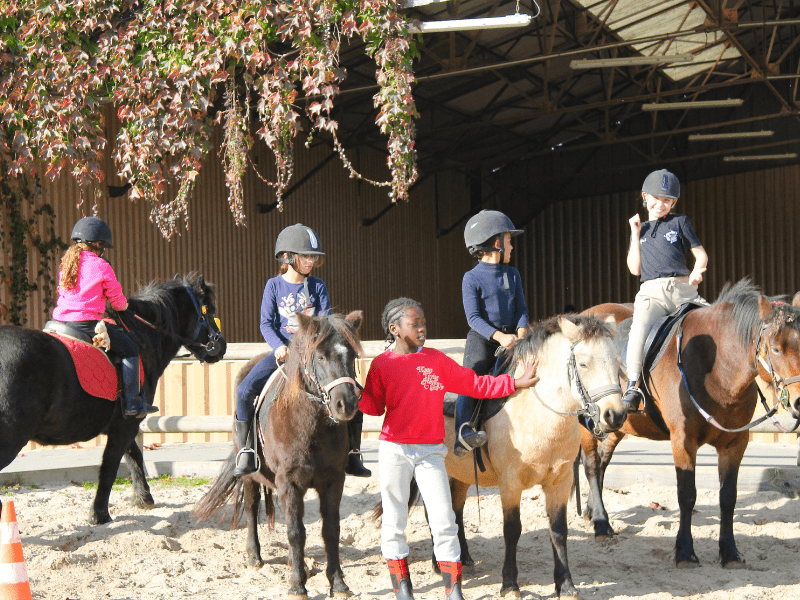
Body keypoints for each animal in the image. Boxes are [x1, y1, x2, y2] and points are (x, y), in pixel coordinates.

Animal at [0, 274, 227, 524]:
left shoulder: (123, 424)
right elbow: (111, 465)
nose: (221, 347)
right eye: (210, 310)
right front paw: (100, 514)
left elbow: (133, 456)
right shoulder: (125, 425)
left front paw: (143, 498)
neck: (140, 337)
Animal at [192, 312, 360, 600]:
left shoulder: (334, 480)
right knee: (251, 508)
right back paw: (255, 556)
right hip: (250, 475)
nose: (345, 404)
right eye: (320, 356)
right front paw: (297, 585)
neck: (311, 425)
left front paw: (338, 583)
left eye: (351, 356)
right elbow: (295, 532)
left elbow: (330, 530)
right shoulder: (289, 482)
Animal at [580, 278, 800, 568]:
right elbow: (687, 495)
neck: (715, 367)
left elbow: (728, 497)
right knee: (592, 464)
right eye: (775, 349)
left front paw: (729, 552)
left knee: (603, 461)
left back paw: (593, 511)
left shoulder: (735, 443)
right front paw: (685, 551)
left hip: (616, 423)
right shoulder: (683, 441)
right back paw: (602, 525)